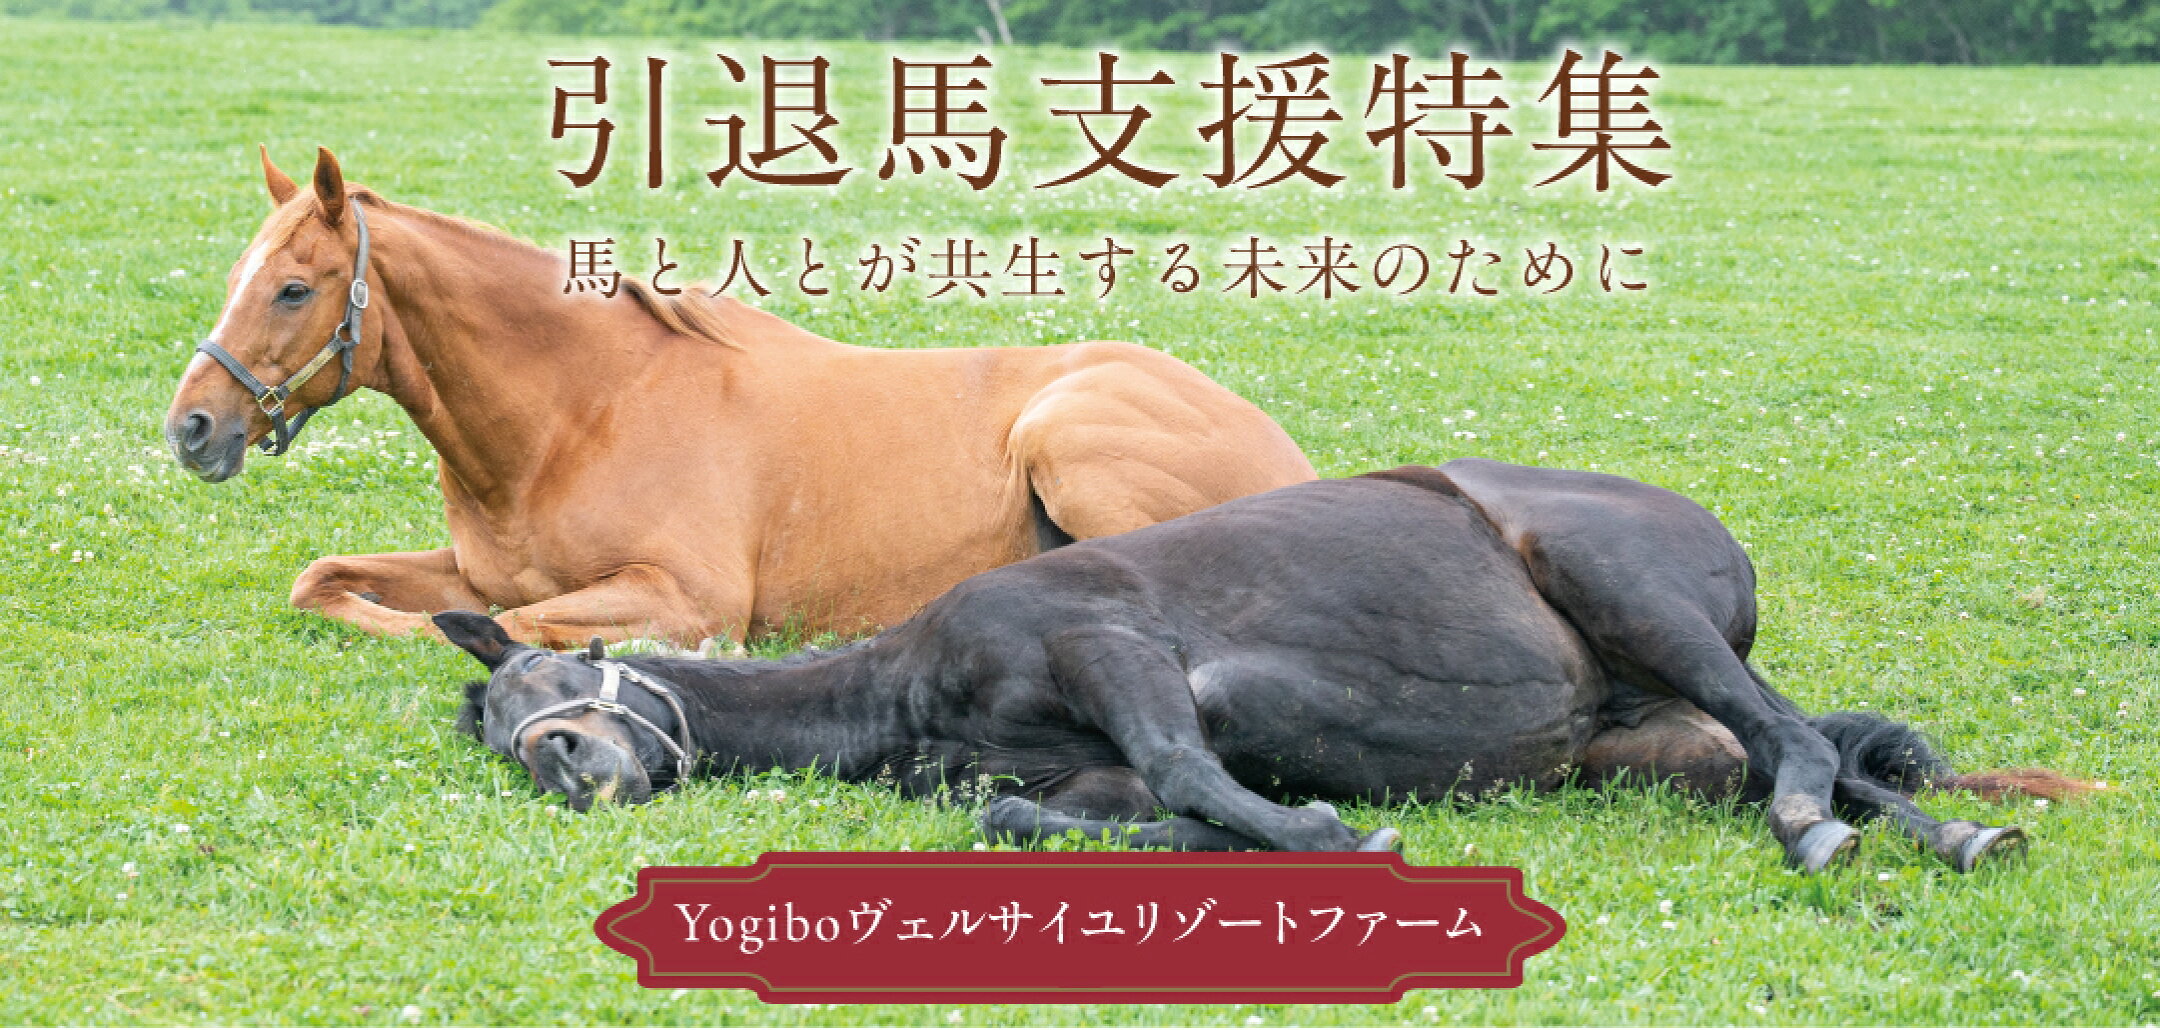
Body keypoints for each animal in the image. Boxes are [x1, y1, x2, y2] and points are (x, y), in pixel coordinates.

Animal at [162, 147, 1314, 647]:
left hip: (1067, 439)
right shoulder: (473, 567)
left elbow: (503, 624)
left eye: (294, 287)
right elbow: (329, 583)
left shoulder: (684, 592)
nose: (191, 427)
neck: (578, 415)